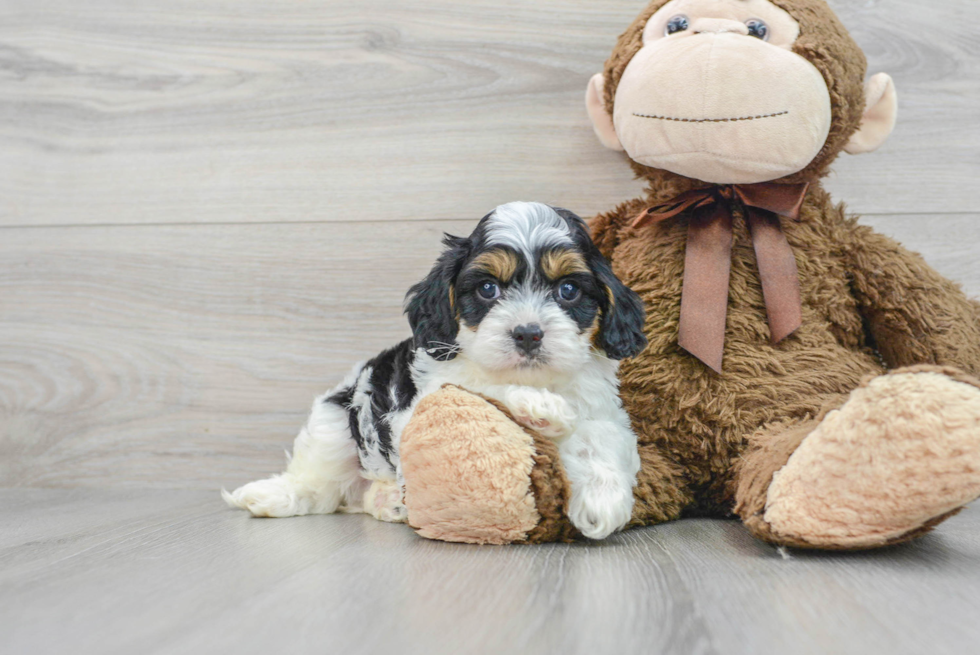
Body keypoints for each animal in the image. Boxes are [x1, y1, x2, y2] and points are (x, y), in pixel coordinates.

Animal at [225, 202, 648, 540]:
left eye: (568, 291)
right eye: (488, 289)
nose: (527, 333)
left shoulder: (605, 411)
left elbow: (604, 438)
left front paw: (601, 499)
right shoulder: (423, 402)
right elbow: (478, 390)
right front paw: (541, 408)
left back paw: (389, 501)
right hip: (334, 419)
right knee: (319, 483)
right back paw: (271, 495)